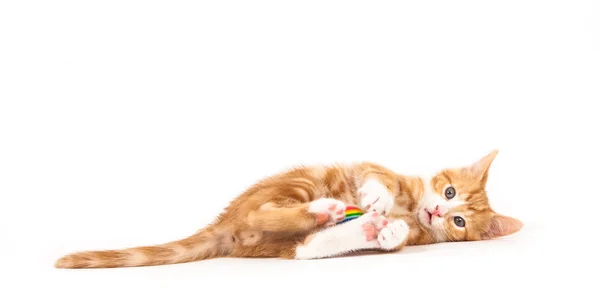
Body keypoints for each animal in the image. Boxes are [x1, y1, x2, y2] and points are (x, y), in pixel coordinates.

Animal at [55, 150, 520, 268]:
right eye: (448, 191)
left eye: (459, 221)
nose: (438, 213)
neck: (413, 206)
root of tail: (225, 222)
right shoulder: (375, 168)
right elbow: (377, 177)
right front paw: (380, 199)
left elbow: (403, 237)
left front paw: (389, 231)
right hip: (299, 182)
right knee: (263, 215)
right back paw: (329, 211)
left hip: (268, 240)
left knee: (301, 248)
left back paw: (356, 229)